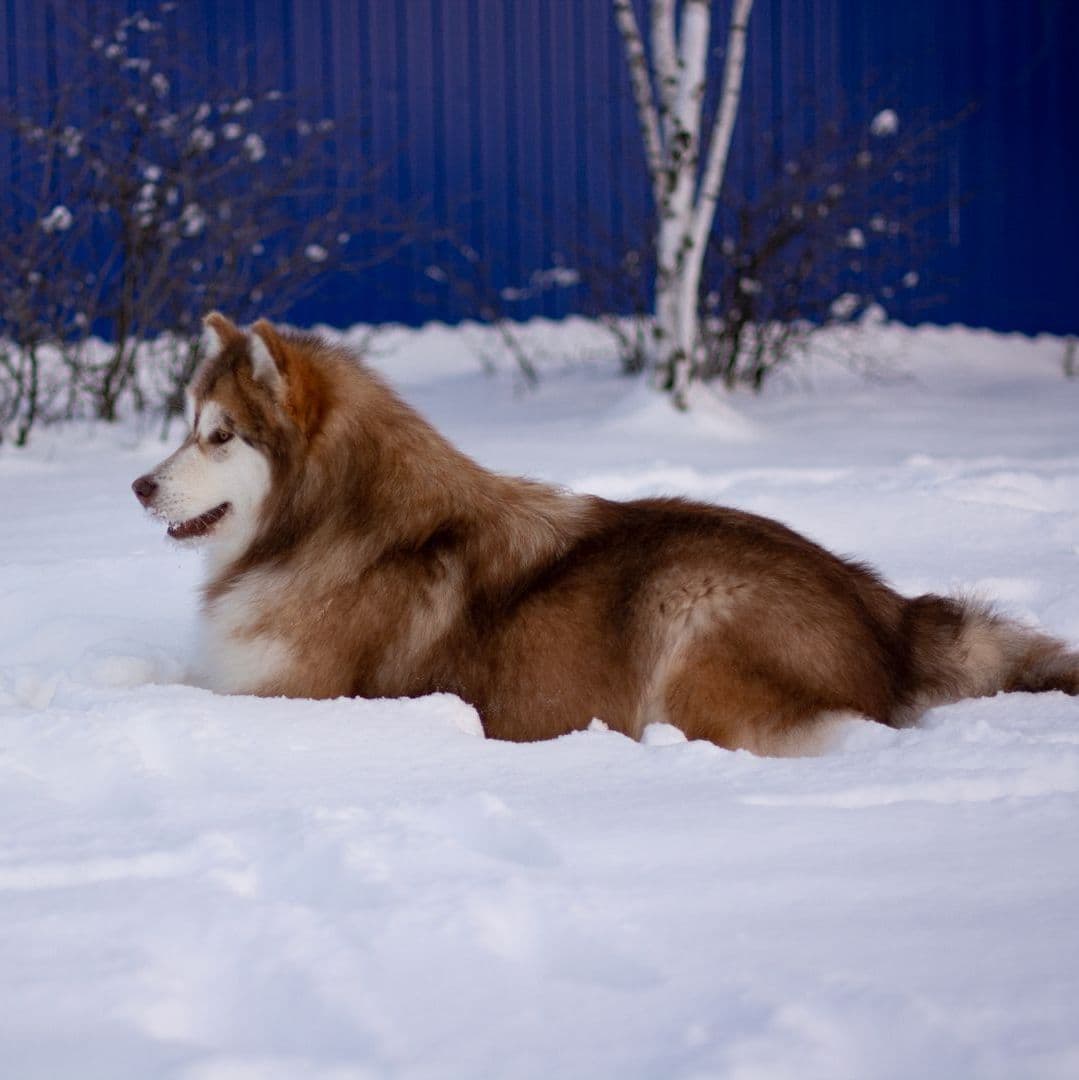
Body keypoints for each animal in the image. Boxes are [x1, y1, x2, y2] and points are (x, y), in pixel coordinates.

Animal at [132, 313, 1079, 751]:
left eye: (219, 436)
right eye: (188, 425)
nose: (139, 486)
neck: (327, 525)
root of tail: (886, 609)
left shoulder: (289, 696)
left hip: (689, 608)